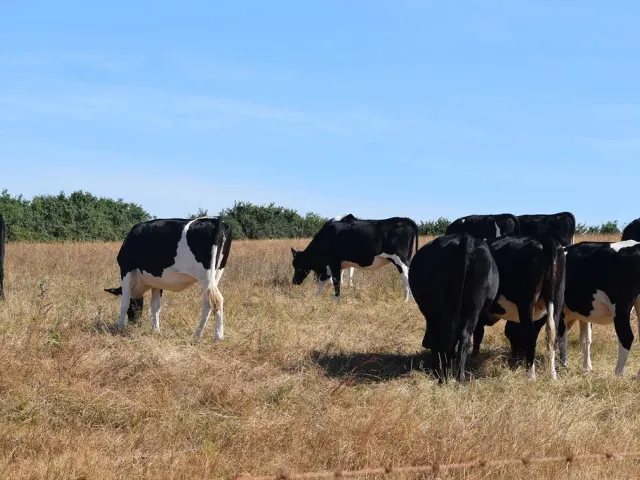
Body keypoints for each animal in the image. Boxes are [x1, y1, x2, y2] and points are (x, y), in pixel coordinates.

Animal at [291, 216, 419, 301]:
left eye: (298, 266)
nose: (294, 282)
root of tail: (404, 219)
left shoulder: (334, 262)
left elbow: (336, 282)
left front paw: (336, 300)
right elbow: (323, 282)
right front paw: (316, 296)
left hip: (400, 260)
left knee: (406, 277)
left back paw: (405, 300)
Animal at [409, 233, 499, 383]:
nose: (424, 343)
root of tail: (465, 238)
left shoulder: (431, 316)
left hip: (444, 309)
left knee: (444, 338)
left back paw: (443, 376)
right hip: (473, 305)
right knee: (463, 337)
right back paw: (459, 378)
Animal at [471, 235, 565, 380]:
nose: (516, 360)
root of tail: (544, 239)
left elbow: (478, 335)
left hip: (526, 304)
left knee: (530, 335)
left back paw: (531, 376)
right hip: (557, 299)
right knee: (552, 336)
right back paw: (553, 375)